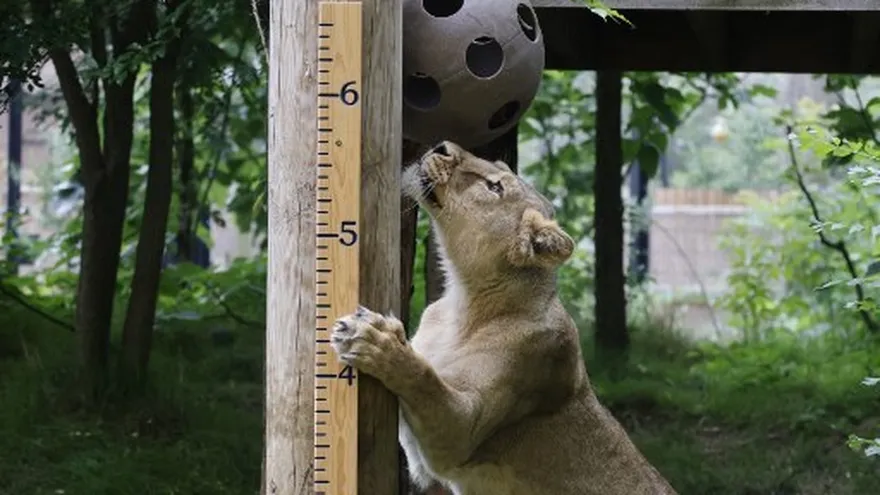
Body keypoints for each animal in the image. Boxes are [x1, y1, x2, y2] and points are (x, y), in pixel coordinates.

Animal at [330, 141, 677, 495]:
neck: (464, 301)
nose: (443, 146)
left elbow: (424, 379)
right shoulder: (419, 459)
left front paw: (374, 339)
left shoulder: (463, 433)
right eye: (496, 168)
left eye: (494, 187)